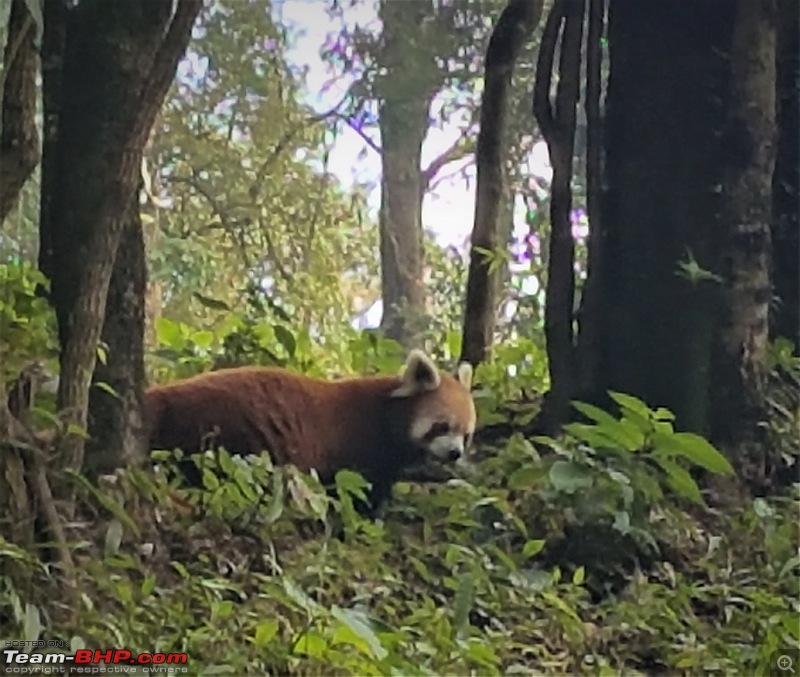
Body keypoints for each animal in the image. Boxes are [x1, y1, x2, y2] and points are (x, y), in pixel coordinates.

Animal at [145, 354, 476, 512]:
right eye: (442, 426)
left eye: (466, 434)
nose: (454, 453)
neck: (388, 415)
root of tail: (160, 396)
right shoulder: (361, 446)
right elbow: (358, 490)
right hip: (219, 430)